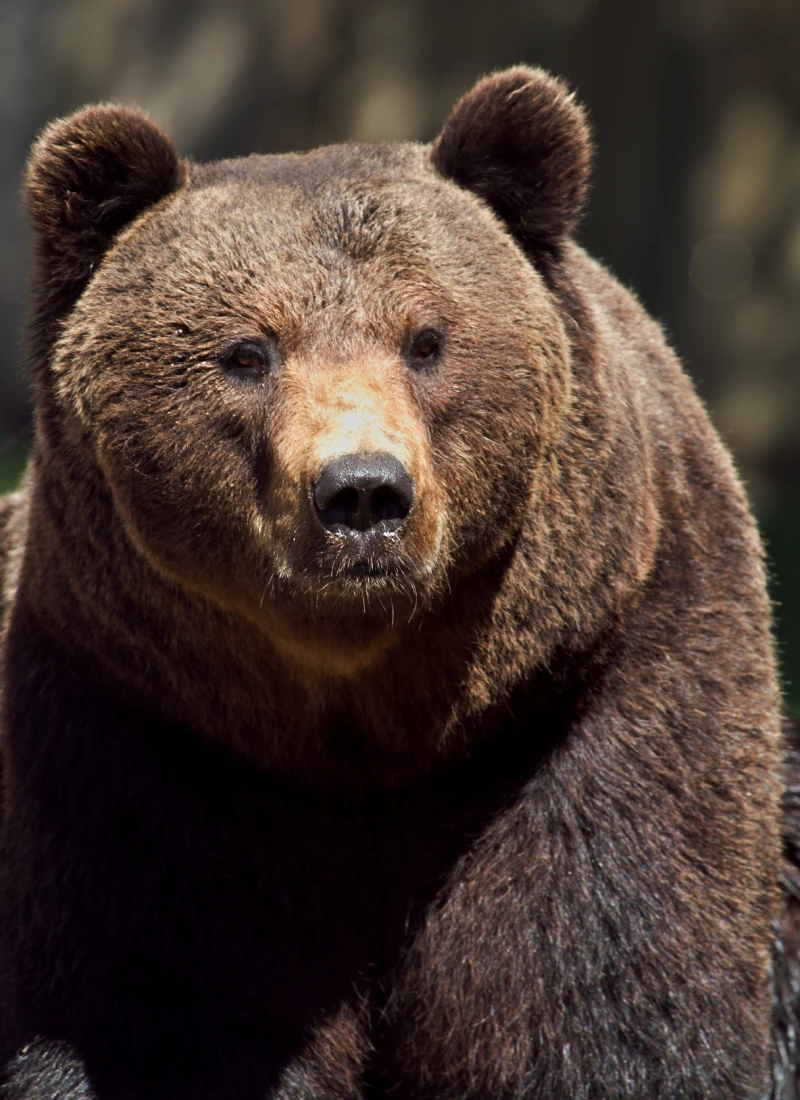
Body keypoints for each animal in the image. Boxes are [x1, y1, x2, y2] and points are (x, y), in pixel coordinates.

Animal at [0, 65, 796, 1099]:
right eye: (248, 352)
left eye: (427, 339)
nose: (363, 491)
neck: (371, 736)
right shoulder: (142, 740)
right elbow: (152, 1013)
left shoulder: (595, 701)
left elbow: (606, 997)